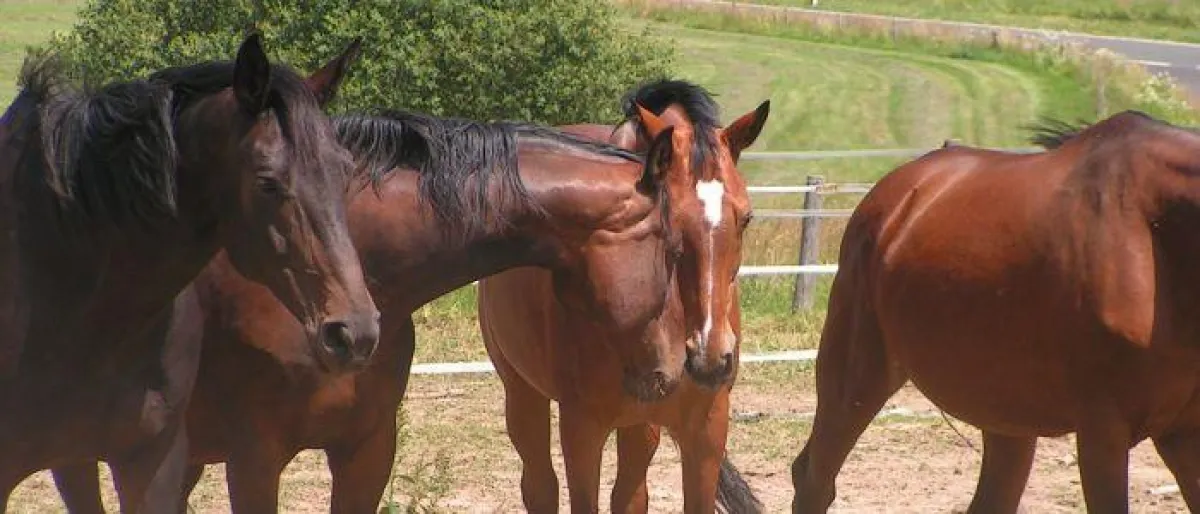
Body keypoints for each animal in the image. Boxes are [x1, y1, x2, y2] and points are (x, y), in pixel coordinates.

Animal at [479, 79, 769, 513]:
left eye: (746, 217)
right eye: (668, 221)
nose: (711, 356)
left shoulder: (706, 430)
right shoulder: (582, 429)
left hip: (640, 425)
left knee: (630, 495)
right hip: (522, 394)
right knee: (540, 486)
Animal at [790, 110, 1200, 513]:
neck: (1156, 239)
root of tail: (898, 194)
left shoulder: (1184, 434)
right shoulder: (1103, 432)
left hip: (1006, 414)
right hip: (857, 377)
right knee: (813, 479)